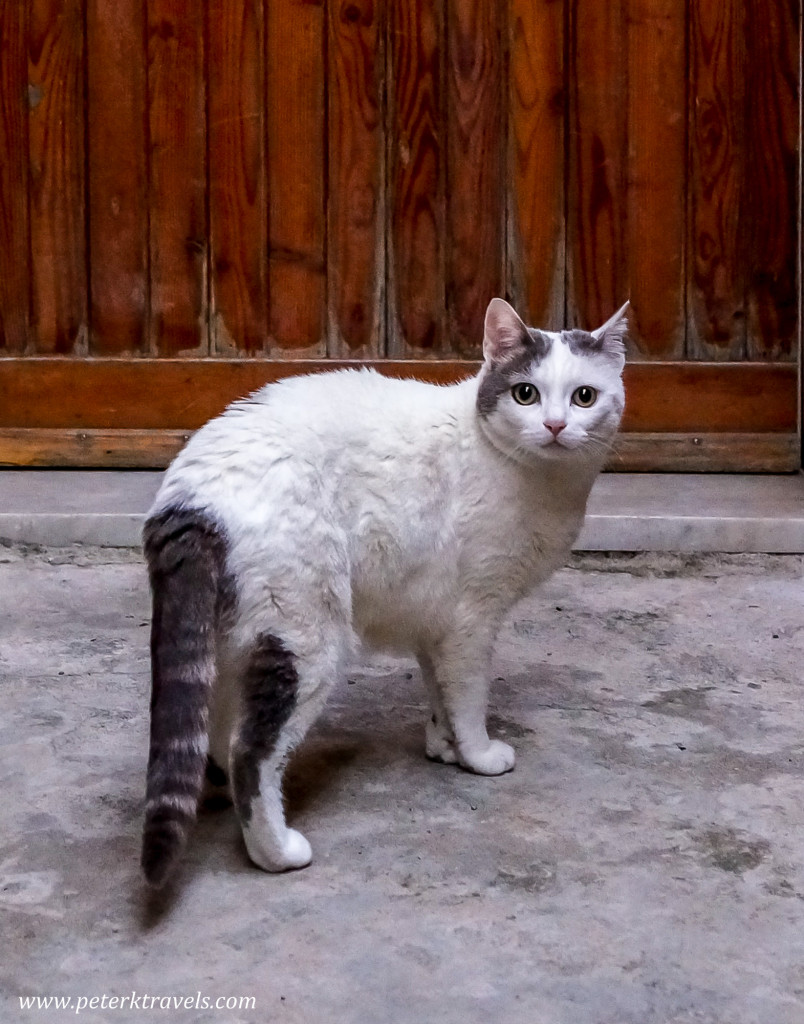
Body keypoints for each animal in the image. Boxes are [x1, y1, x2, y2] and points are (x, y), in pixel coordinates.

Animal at [139, 296, 626, 888]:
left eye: (584, 397)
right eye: (525, 394)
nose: (556, 426)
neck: (540, 481)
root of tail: (190, 495)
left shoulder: (433, 616)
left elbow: (440, 691)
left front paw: (444, 746)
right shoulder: (473, 618)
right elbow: (469, 695)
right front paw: (478, 754)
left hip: (239, 637)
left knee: (219, 726)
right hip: (307, 638)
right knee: (249, 752)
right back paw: (276, 851)